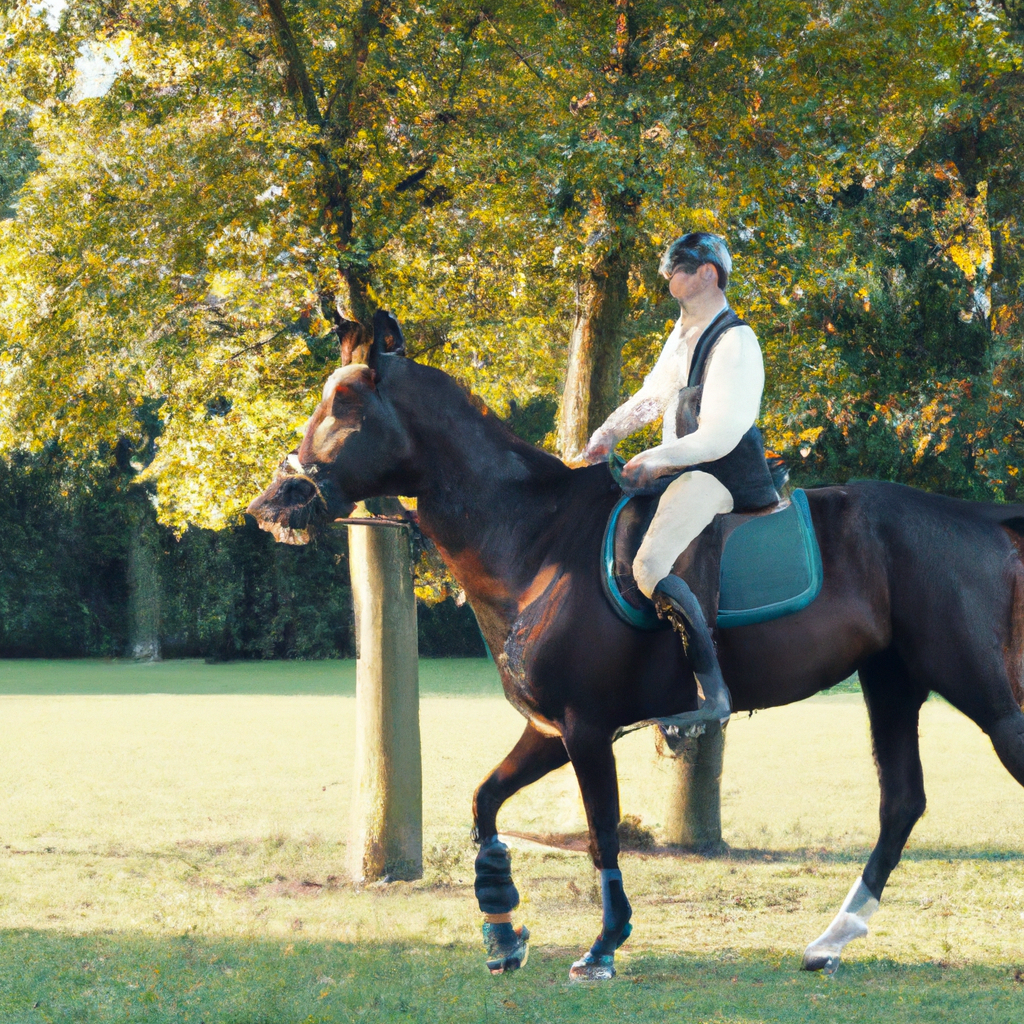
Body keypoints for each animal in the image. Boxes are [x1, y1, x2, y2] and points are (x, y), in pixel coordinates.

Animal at [245, 317, 1024, 974]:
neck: (535, 537)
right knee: (901, 804)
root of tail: (982, 519)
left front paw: (603, 945)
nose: (272, 504)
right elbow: (484, 802)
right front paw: (501, 928)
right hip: (891, 682)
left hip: (982, 692)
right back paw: (831, 940)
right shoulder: (548, 730)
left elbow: (601, 833)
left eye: (345, 403)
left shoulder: (587, 729)